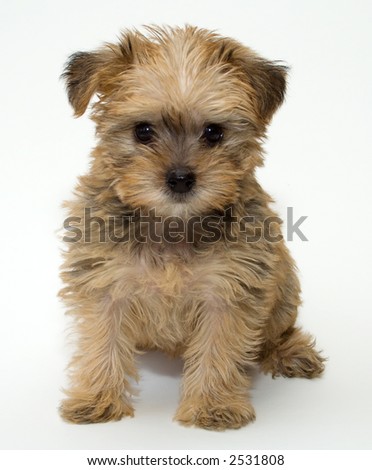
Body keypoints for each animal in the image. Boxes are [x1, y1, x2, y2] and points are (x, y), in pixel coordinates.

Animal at [59, 25, 324, 430]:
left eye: (214, 133)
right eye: (143, 131)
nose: (181, 178)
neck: (173, 223)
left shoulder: (229, 290)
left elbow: (219, 348)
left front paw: (213, 405)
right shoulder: (105, 283)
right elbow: (102, 341)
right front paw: (97, 398)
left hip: (284, 287)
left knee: (278, 329)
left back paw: (289, 351)